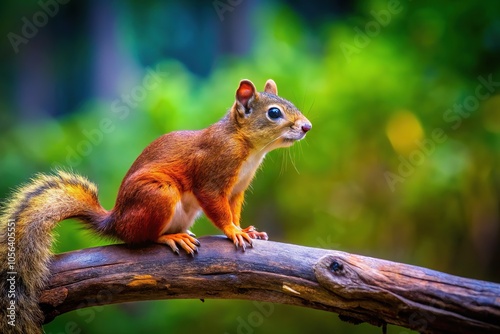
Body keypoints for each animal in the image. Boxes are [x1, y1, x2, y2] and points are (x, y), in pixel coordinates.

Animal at [0, 77, 312, 332]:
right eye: (274, 113)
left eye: (291, 104)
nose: (307, 127)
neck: (247, 145)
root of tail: (116, 221)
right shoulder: (211, 177)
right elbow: (218, 208)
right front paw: (233, 231)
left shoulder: (236, 191)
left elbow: (233, 210)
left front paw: (246, 229)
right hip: (158, 195)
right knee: (141, 238)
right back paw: (170, 237)